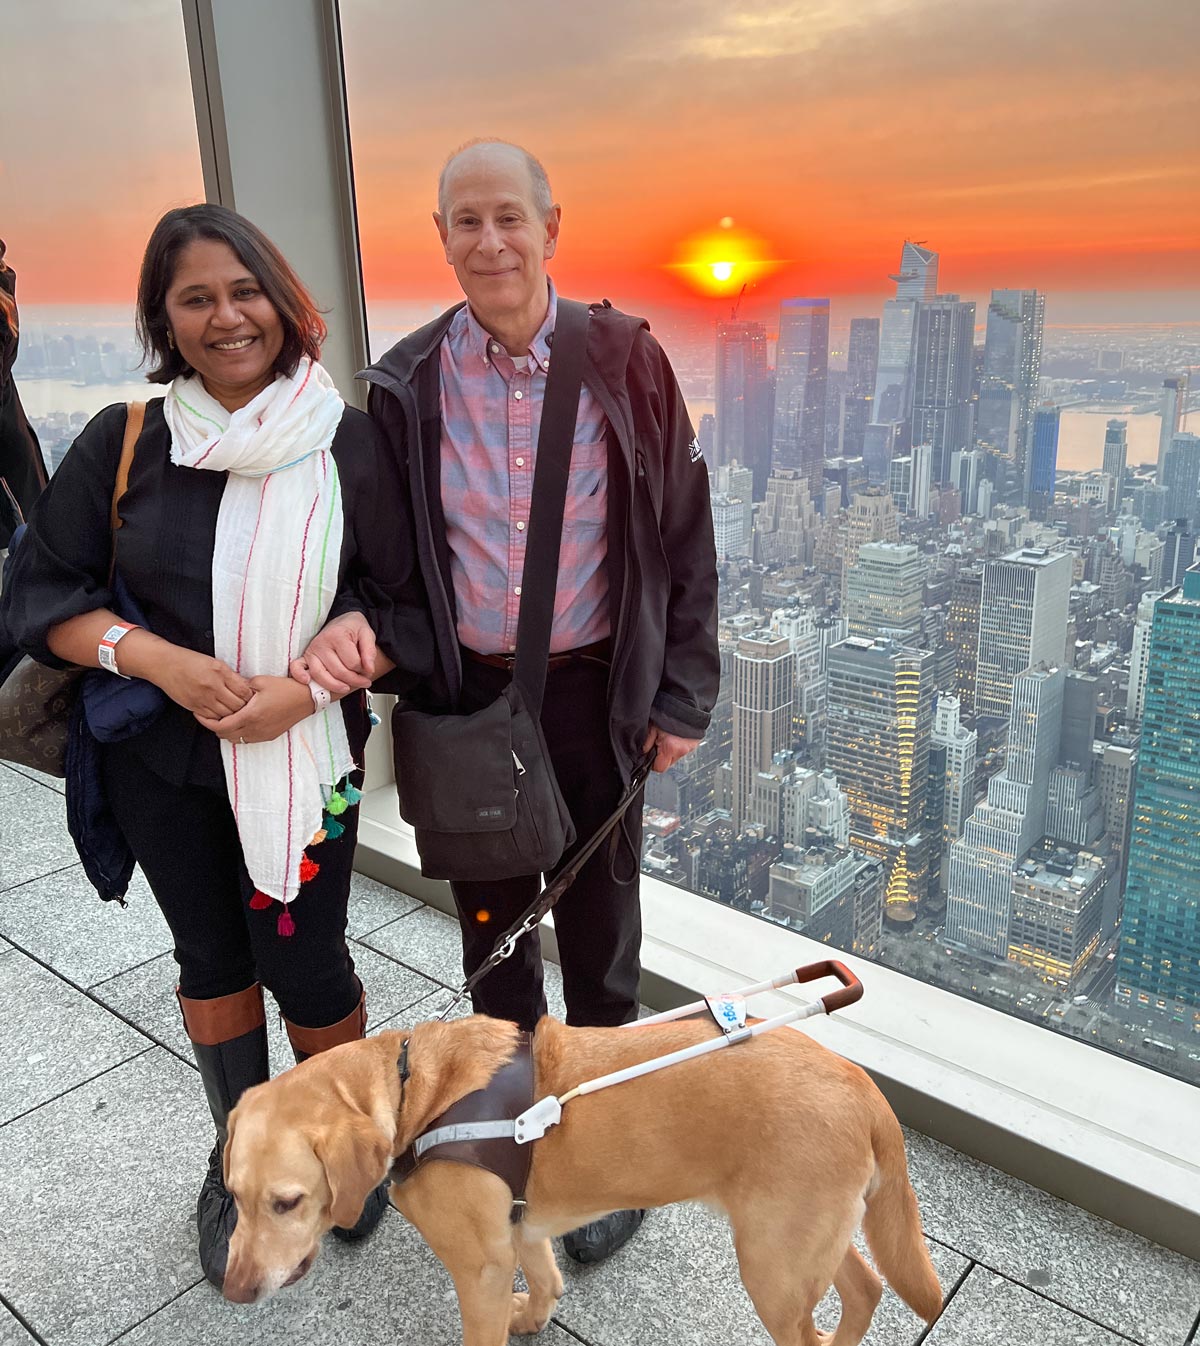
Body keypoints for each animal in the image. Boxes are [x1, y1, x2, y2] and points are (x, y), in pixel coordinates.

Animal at [220, 1012, 941, 1340]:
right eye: (234, 1197)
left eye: (287, 1202)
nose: (234, 1291)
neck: (412, 1093)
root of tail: (864, 1088)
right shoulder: (523, 1227)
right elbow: (545, 1280)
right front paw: (535, 1316)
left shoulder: (479, 1269)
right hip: (801, 1243)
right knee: (867, 1288)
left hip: (773, 1266)